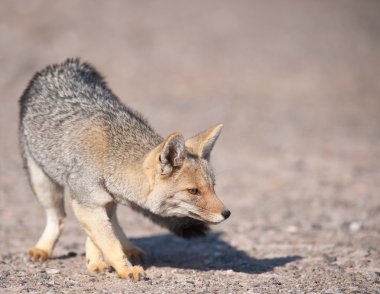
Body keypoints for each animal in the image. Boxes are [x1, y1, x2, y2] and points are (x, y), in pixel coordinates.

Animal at [19, 58, 230, 282]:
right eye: (193, 191)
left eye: (213, 187)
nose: (227, 213)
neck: (110, 157)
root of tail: (65, 63)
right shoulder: (87, 203)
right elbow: (108, 241)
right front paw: (124, 268)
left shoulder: (100, 202)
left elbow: (100, 237)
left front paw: (96, 262)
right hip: (43, 184)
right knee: (57, 218)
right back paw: (43, 248)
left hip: (107, 201)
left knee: (112, 223)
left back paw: (126, 248)